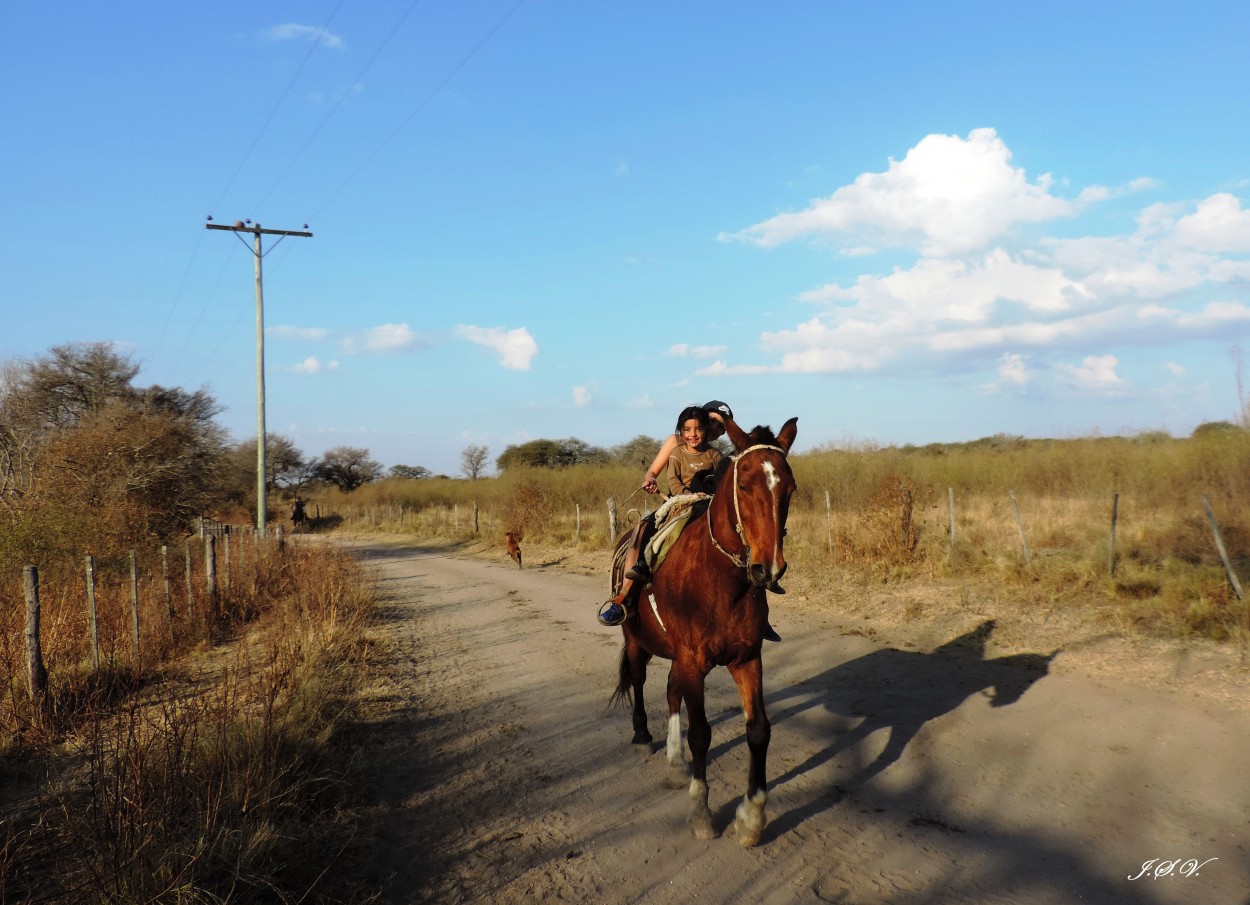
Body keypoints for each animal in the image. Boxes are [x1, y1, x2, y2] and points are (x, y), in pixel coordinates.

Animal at [610, 417, 795, 850]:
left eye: (790, 488)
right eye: (743, 485)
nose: (768, 568)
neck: (721, 581)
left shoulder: (747, 657)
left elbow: (758, 730)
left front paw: (751, 818)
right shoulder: (694, 660)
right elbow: (700, 734)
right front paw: (701, 813)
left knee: (670, 690)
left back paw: (676, 763)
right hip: (635, 640)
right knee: (640, 680)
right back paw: (642, 735)